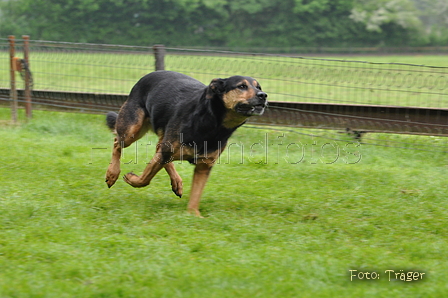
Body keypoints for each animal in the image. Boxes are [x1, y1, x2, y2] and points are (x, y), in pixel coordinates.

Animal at [103, 70, 268, 217]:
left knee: (157, 150)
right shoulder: (167, 150)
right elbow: (145, 178)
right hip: (132, 131)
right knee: (117, 142)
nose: (263, 95)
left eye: (258, 87)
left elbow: (196, 193)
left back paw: (176, 182)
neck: (213, 122)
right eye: (242, 86)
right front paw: (132, 179)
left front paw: (193, 214)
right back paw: (112, 173)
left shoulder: (204, 165)